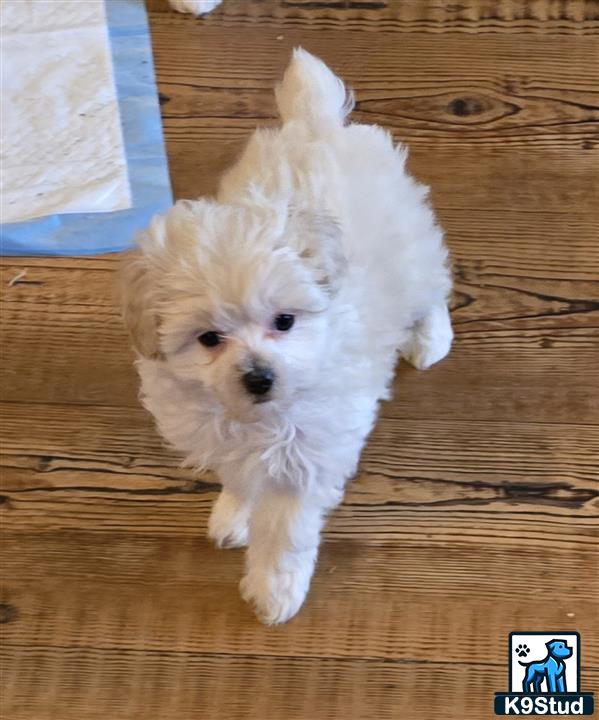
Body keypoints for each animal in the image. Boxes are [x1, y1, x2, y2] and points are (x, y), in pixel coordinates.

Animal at [120, 50, 450, 624]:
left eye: (285, 322)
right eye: (209, 338)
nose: (259, 378)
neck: (258, 419)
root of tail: (316, 123)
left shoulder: (310, 454)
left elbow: (286, 529)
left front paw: (275, 588)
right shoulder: (222, 433)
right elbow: (239, 475)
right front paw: (234, 511)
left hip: (412, 249)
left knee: (434, 286)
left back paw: (432, 338)